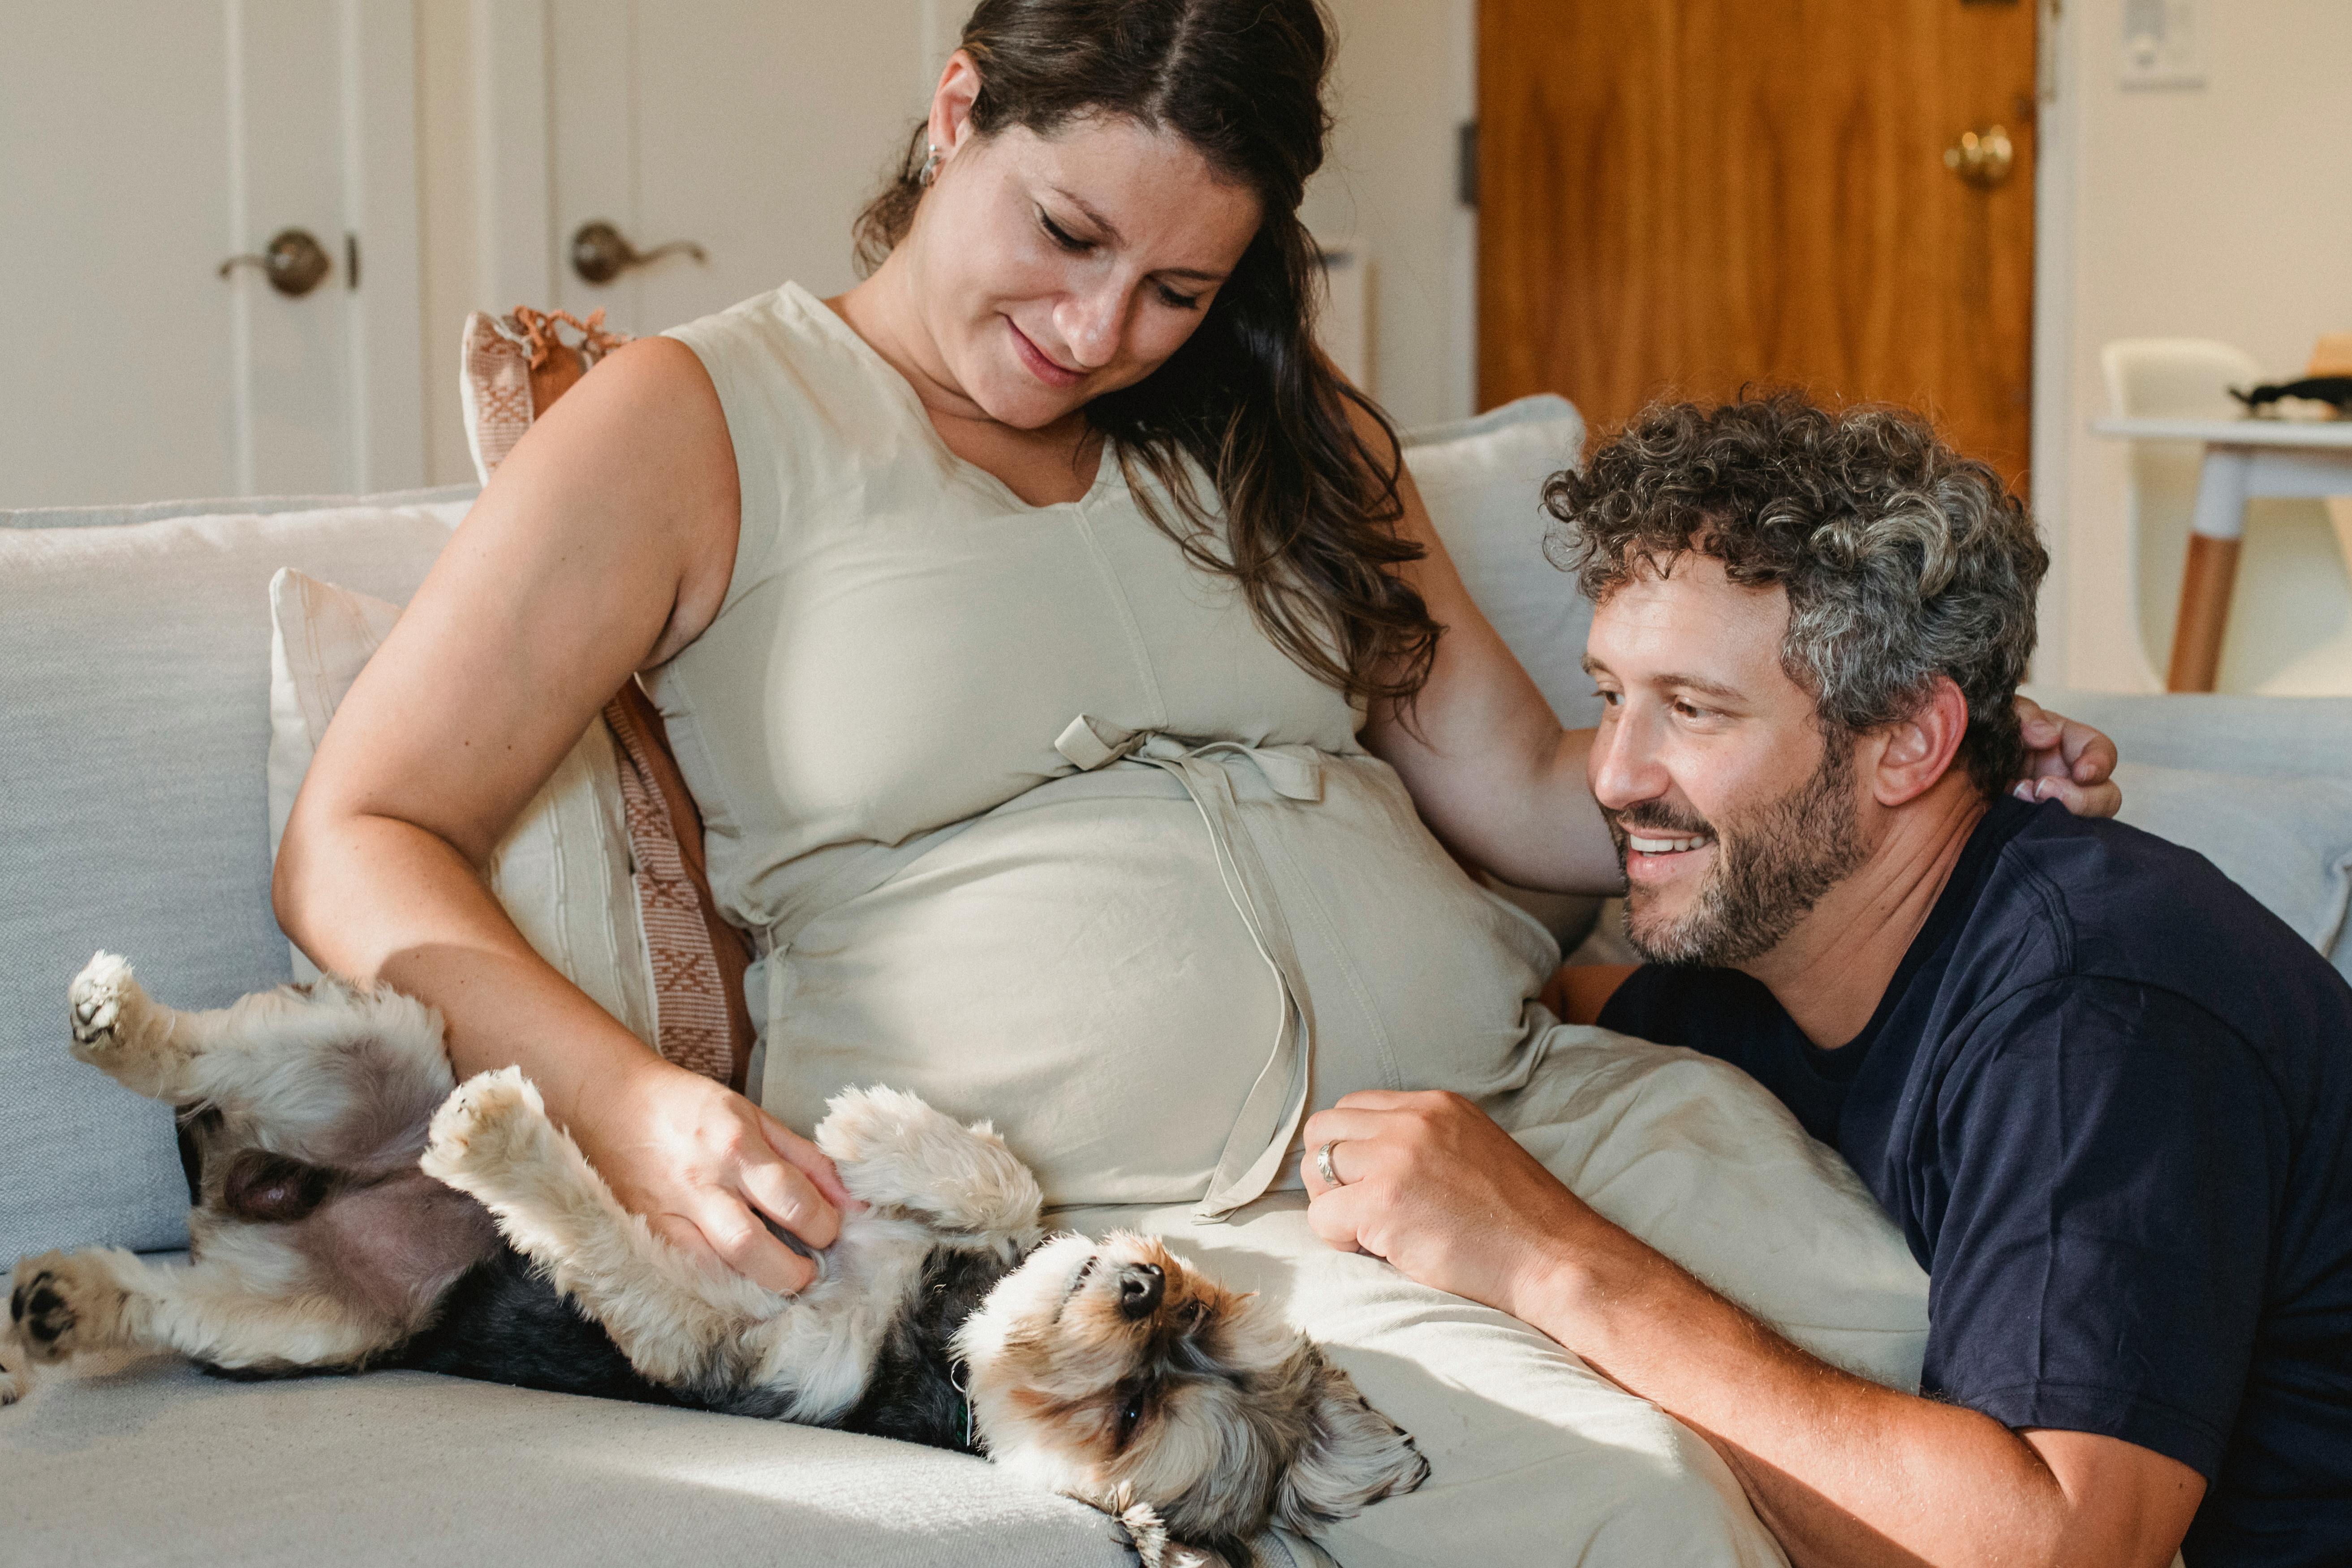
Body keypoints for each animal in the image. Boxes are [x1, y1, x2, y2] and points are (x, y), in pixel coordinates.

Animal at [0, 959, 1421, 1568]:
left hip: (302, 1321)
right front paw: (879, 1133)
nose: (1138, 1283)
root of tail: (254, 1202)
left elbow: (597, 1236)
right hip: (384, 1049)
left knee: (168, 1301)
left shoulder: (690, 1332)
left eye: (1130, 1415)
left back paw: (59, 1304)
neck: (936, 1329)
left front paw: (505, 1143)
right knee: (208, 1063)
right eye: (1196, 1315)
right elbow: (1006, 1176)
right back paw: (114, 1026)